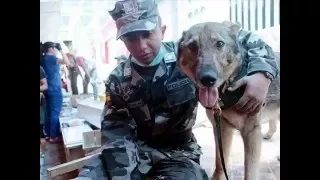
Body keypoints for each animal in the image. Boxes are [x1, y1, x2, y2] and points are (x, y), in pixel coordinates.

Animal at [178, 21, 280, 180]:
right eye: (192, 46)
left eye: (219, 44)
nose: (207, 79)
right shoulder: (221, 128)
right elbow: (221, 162)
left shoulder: (251, 133)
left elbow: (249, 173)